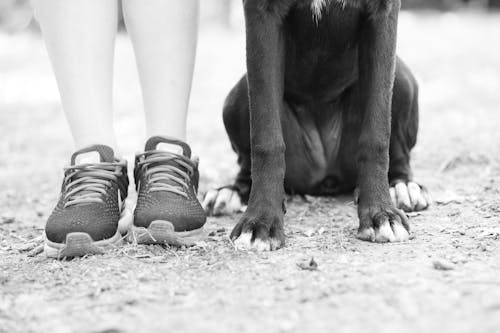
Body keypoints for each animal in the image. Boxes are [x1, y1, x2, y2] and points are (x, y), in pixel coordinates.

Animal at [203, 0, 430, 249]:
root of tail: (325, 174)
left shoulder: (382, 12)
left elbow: (377, 136)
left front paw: (381, 213)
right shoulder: (262, 13)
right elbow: (266, 138)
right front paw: (261, 220)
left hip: (401, 78)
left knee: (399, 154)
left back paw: (402, 187)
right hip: (238, 95)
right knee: (246, 164)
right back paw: (230, 192)